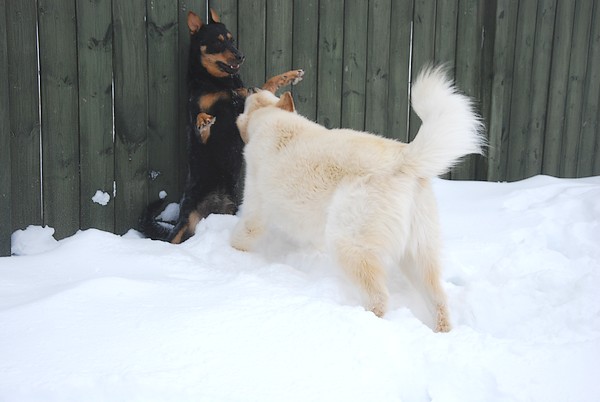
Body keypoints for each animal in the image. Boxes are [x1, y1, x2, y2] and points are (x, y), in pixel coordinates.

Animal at [138, 8, 302, 242]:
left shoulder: (244, 100)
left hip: (229, 209)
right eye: (218, 42)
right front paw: (204, 121)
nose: (241, 55)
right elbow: (200, 123)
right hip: (185, 218)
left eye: (232, 40)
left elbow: (268, 82)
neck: (220, 83)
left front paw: (291, 75)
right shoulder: (200, 127)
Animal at [232, 65, 486, 330]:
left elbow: (243, 235)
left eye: (252, 95)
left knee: (379, 298)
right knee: (439, 300)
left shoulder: (255, 209)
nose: (250, 86)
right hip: (418, 255)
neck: (272, 121)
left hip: (350, 246)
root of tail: (404, 158)